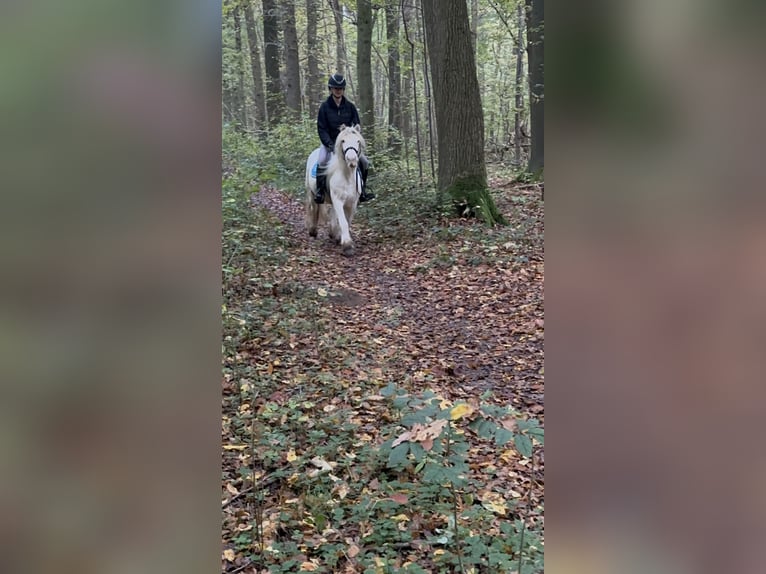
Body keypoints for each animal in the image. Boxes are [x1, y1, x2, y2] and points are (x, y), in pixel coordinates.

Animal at [306, 125, 366, 258]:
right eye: (343, 141)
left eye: (358, 141)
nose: (351, 159)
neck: (347, 176)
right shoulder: (338, 200)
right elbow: (343, 222)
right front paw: (347, 246)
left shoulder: (352, 203)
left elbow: (347, 221)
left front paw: (340, 237)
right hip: (311, 193)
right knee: (314, 208)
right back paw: (313, 231)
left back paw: (333, 233)